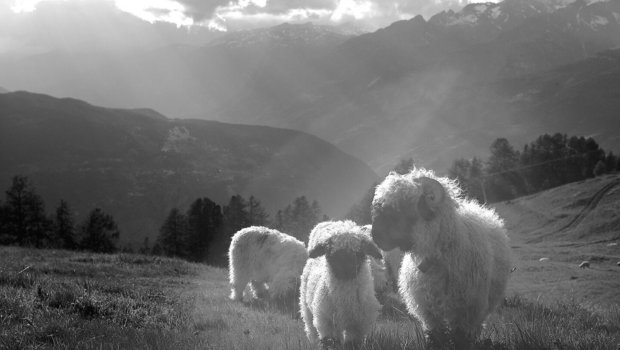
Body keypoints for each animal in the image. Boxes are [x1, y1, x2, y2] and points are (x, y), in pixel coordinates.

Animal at [370, 168, 512, 346]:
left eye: (403, 205)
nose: (375, 235)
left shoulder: (466, 310)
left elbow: (460, 338)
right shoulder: (428, 312)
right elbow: (437, 337)